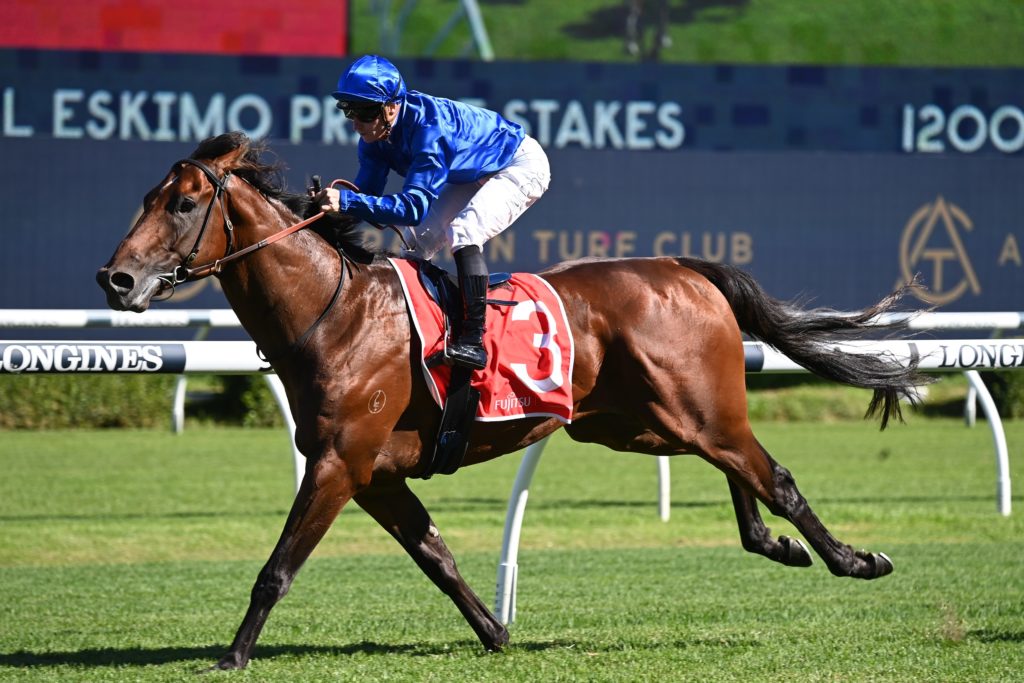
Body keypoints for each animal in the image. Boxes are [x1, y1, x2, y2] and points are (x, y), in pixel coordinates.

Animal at [97, 132, 926, 671]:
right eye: (146, 196)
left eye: (185, 203)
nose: (117, 278)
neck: (333, 312)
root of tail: (683, 266)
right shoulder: (375, 474)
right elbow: (434, 553)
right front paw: (495, 631)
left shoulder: (338, 463)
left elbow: (277, 567)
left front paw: (232, 655)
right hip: (642, 423)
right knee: (740, 470)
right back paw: (776, 543)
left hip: (689, 409)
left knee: (773, 474)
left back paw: (855, 559)